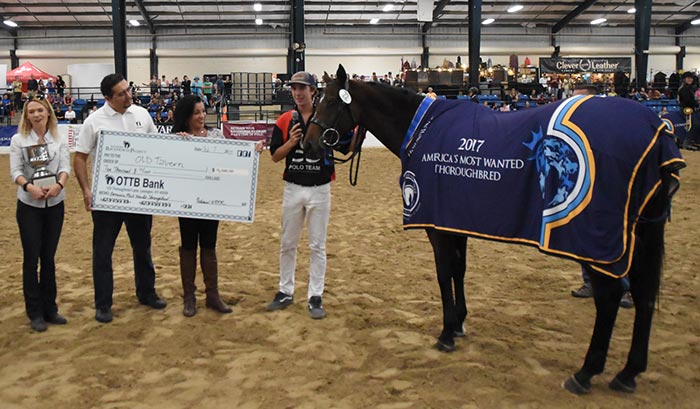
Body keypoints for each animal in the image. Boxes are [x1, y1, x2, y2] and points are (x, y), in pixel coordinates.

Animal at [304, 64, 688, 396]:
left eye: (331, 101)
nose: (308, 144)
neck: (422, 128)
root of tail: (655, 128)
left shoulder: (436, 225)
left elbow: (444, 273)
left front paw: (446, 332)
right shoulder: (453, 220)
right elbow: (459, 270)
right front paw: (459, 323)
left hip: (599, 243)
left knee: (609, 298)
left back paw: (585, 372)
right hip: (640, 236)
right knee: (643, 295)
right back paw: (628, 372)